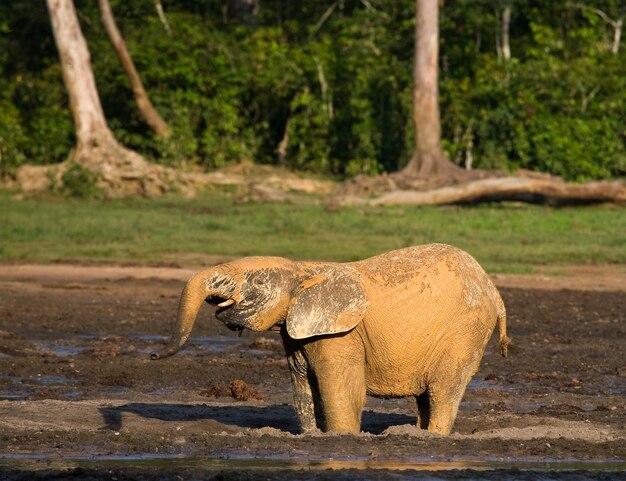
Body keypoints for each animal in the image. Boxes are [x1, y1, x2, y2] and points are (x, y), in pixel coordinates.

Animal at [151, 244, 508, 436]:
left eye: (255, 284)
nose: (153, 357)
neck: (305, 270)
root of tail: (493, 290)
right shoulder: (298, 331)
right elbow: (303, 389)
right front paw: (312, 436)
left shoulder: (341, 334)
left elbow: (341, 389)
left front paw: (342, 437)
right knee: (428, 396)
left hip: (465, 334)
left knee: (443, 390)